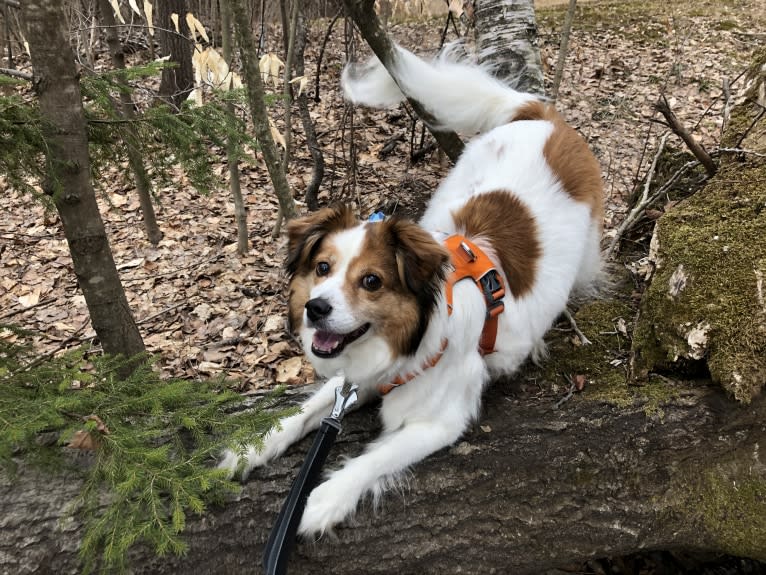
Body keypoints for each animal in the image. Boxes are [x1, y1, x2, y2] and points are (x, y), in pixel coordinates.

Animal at [220, 44, 608, 536]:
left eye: (371, 281)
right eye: (323, 268)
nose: (315, 309)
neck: (409, 340)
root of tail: (545, 120)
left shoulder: (440, 421)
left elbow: (375, 458)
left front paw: (322, 500)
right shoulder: (357, 378)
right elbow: (306, 412)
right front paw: (253, 448)